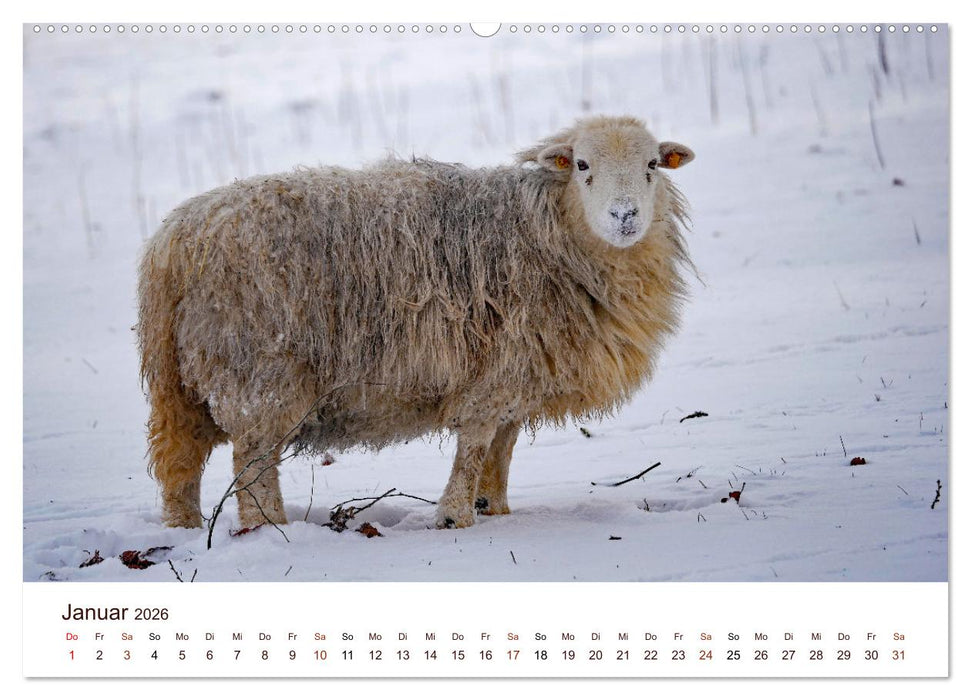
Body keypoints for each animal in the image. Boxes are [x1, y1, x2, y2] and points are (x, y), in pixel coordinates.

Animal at [137, 115, 695, 531]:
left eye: (651, 164)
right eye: (581, 164)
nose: (625, 216)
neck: (548, 231)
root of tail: (174, 243)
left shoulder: (521, 373)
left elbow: (501, 449)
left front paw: (495, 510)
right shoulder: (495, 370)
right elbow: (475, 445)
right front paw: (455, 516)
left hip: (179, 382)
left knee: (181, 462)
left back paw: (185, 526)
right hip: (258, 368)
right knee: (252, 462)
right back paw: (268, 528)